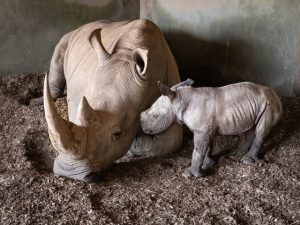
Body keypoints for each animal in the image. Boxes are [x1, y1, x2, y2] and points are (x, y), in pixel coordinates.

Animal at [140, 80, 282, 178]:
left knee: (260, 131)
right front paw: (208, 164)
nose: (142, 128)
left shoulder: (201, 130)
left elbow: (198, 151)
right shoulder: (205, 129)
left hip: (268, 105)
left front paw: (190, 174)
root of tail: (276, 95)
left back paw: (247, 160)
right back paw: (238, 153)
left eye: (155, 116)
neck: (179, 100)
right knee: (250, 127)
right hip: (256, 106)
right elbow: (207, 147)